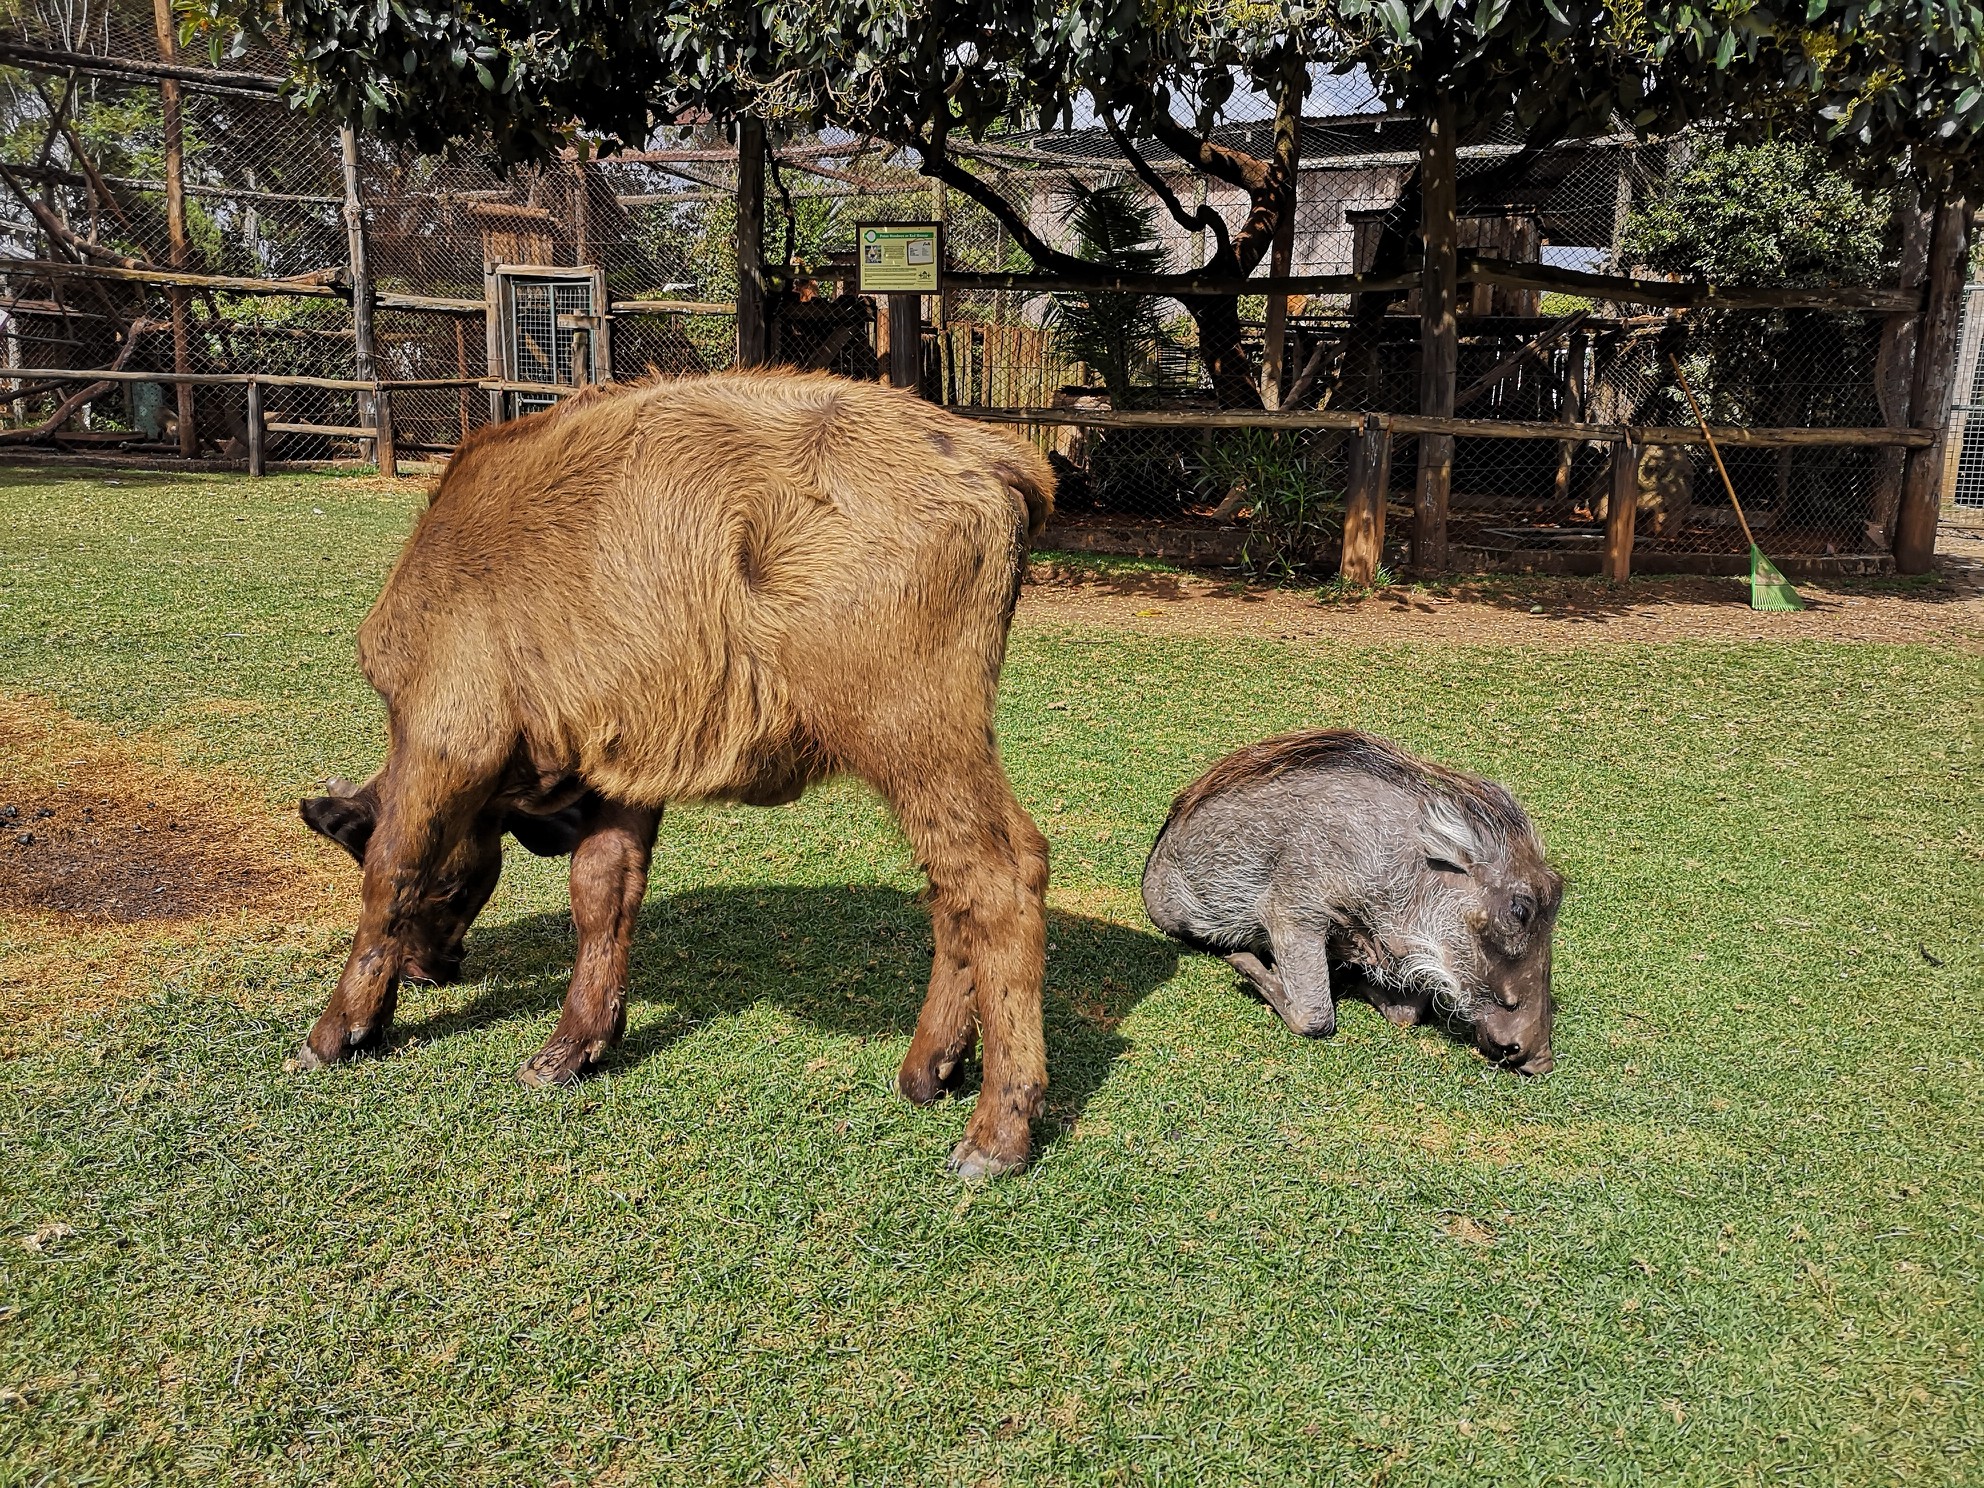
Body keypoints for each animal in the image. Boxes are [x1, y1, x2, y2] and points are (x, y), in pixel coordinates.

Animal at [289, 371, 1055, 1174]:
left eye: (450, 886)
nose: (427, 968)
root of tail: (994, 455)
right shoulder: (627, 773)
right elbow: (603, 889)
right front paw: (573, 1047)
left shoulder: (445, 740)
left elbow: (393, 871)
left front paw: (337, 1032)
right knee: (969, 881)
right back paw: (931, 1066)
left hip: (911, 737)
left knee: (995, 882)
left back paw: (998, 1129)